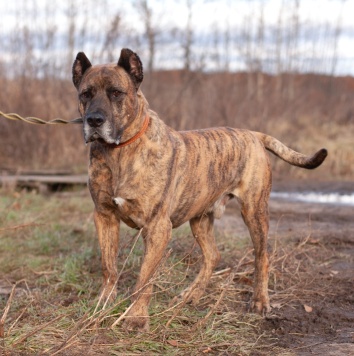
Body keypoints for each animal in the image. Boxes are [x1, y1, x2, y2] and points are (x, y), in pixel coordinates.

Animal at [72, 48, 330, 330]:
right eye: (85, 94)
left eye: (116, 93)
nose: (94, 120)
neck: (120, 151)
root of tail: (253, 134)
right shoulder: (105, 216)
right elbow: (108, 267)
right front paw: (102, 304)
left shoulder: (157, 227)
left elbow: (145, 277)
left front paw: (136, 317)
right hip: (201, 218)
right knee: (213, 256)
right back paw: (191, 295)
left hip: (254, 211)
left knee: (261, 256)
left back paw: (259, 301)